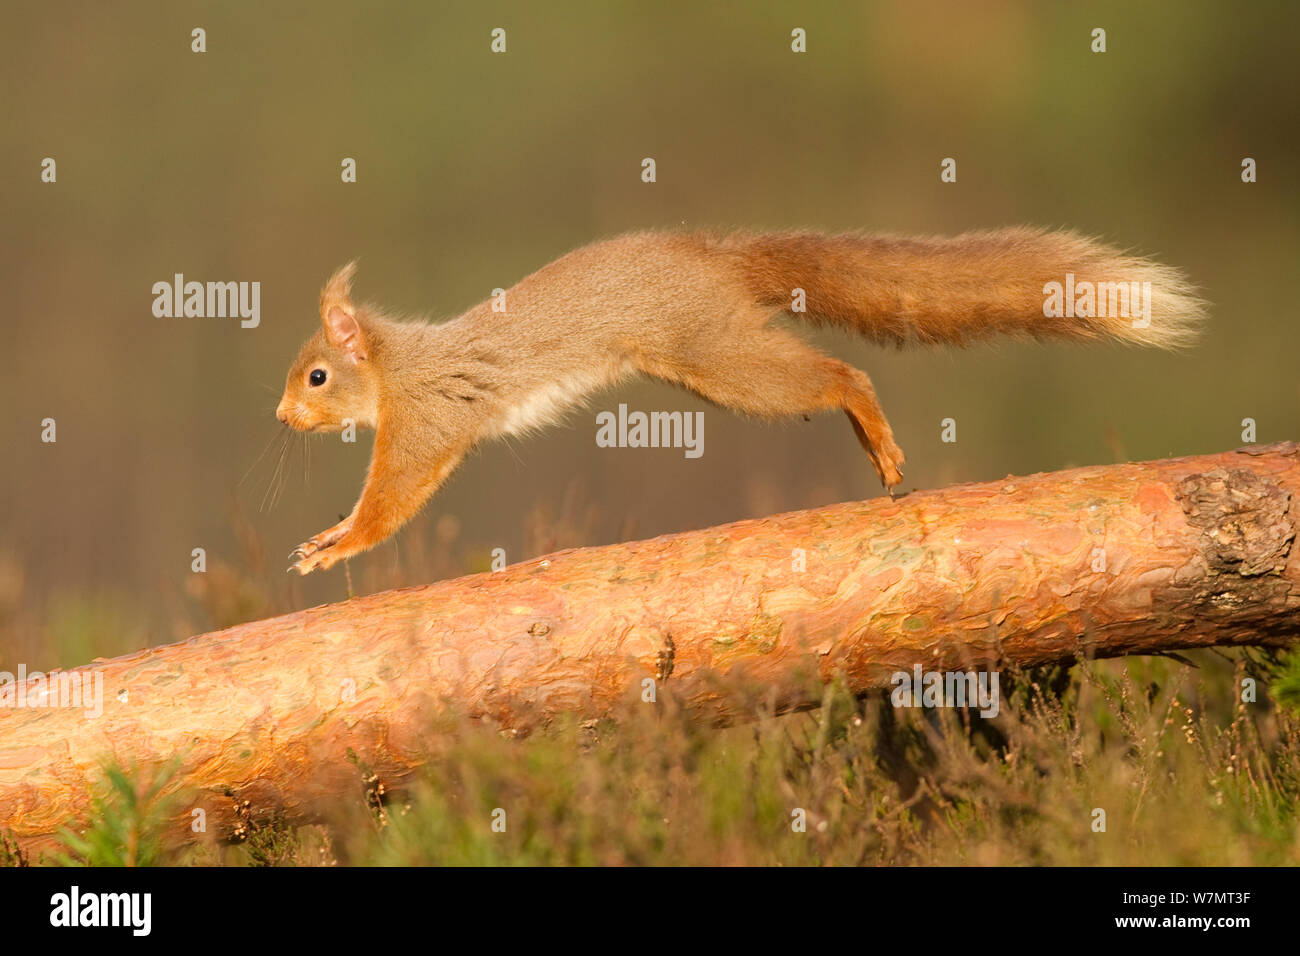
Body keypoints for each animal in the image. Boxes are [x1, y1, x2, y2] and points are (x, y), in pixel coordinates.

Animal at [276, 230, 1206, 574]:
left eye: (315, 376)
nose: (281, 420)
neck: (396, 365)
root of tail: (714, 253)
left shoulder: (429, 421)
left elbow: (394, 498)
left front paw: (333, 543)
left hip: (713, 354)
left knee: (840, 376)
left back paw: (876, 435)